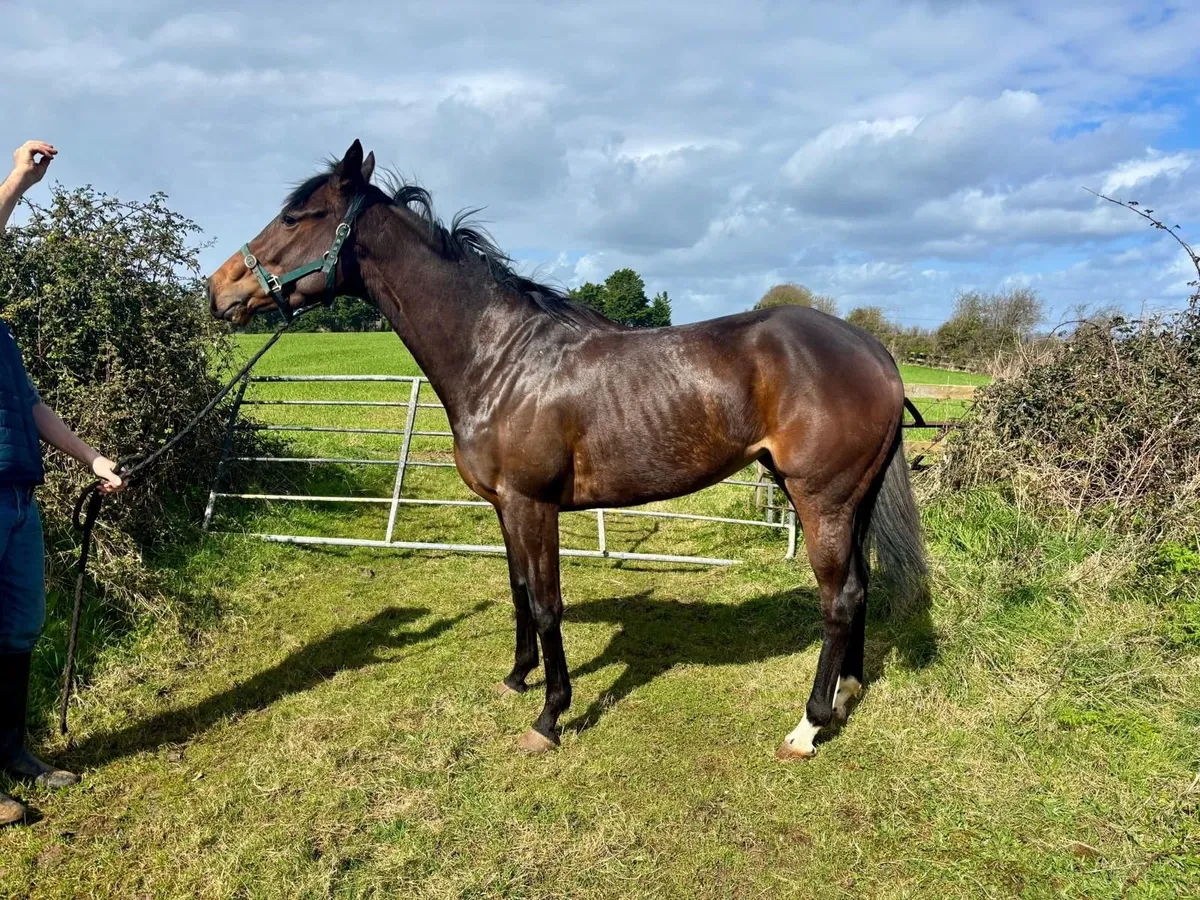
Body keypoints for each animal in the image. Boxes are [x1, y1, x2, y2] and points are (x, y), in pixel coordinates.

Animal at [207, 140, 927, 759]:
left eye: (297, 215)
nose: (219, 289)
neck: (500, 359)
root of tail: (873, 350)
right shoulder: (505, 506)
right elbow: (520, 588)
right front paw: (516, 677)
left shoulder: (534, 505)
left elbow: (548, 604)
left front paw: (549, 717)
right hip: (847, 500)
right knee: (860, 588)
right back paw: (847, 693)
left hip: (821, 499)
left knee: (838, 600)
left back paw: (807, 726)